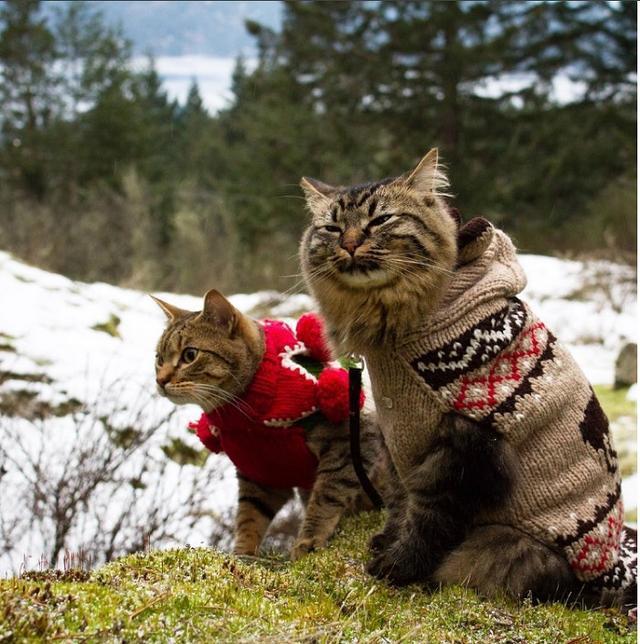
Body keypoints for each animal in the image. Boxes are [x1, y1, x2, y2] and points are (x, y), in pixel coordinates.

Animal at [152, 286, 388, 560]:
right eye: (159, 358)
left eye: (190, 355)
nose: (160, 380)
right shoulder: (262, 472)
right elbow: (249, 517)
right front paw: (242, 553)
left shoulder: (350, 441)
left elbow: (327, 496)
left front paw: (309, 540)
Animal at [298, 148, 636, 612]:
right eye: (331, 228)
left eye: (380, 220)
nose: (349, 243)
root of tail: (608, 575)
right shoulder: (401, 438)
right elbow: (400, 505)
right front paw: (386, 543)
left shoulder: (462, 447)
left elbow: (427, 520)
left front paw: (396, 568)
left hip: (506, 543)